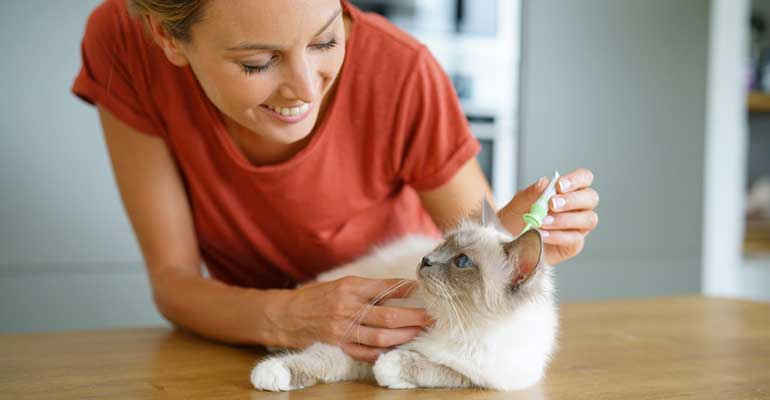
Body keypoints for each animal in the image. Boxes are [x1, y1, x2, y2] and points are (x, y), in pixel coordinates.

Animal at [249, 200, 556, 390]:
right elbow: (314, 360)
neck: (455, 324)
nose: (425, 260)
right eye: (443, 244)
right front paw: (270, 373)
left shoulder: (477, 378)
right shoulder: (362, 344)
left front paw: (391, 371)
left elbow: (432, 367)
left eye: (462, 262)